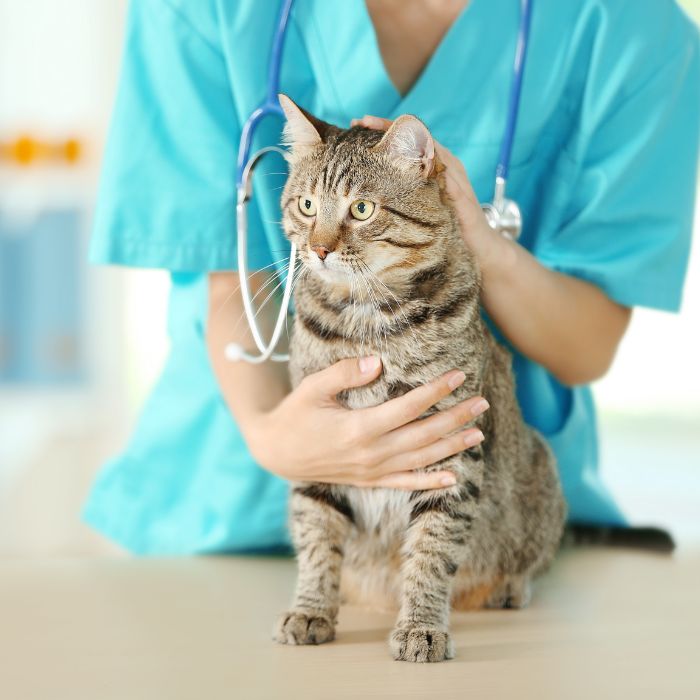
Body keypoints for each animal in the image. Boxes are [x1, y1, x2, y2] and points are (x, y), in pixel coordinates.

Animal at [270, 94, 568, 660]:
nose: (319, 249)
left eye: (361, 209)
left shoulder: (452, 446)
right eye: (308, 206)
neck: (368, 322)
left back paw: (508, 586)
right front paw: (311, 608)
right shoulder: (319, 436)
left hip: (540, 470)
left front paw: (421, 626)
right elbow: (316, 535)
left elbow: (431, 548)